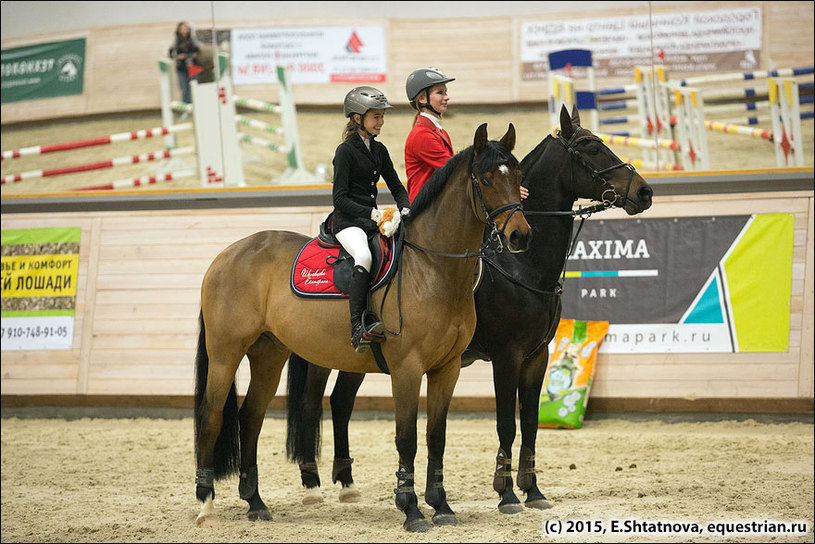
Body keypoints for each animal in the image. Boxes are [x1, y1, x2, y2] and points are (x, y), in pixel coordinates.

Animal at [194, 122, 532, 532]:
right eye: (485, 179)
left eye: (518, 176)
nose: (520, 236)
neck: (433, 268)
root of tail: (226, 255)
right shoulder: (407, 369)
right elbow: (407, 438)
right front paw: (411, 509)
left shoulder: (447, 368)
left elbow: (436, 436)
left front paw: (442, 506)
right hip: (225, 354)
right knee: (211, 417)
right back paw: (206, 505)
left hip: (268, 355)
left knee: (250, 418)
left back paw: (256, 503)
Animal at [286, 104, 656, 512]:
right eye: (591, 148)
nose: (644, 191)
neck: (519, 264)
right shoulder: (507, 355)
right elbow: (506, 423)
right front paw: (507, 493)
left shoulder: (537, 355)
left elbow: (530, 422)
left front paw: (533, 491)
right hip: (323, 352)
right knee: (310, 404)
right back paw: (311, 484)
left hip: (361, 356)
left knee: (340, 402)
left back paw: (347, 482)